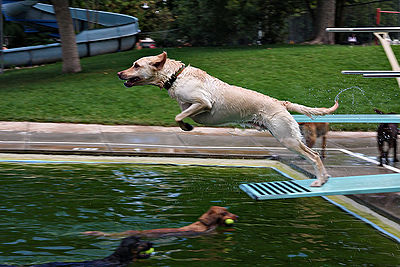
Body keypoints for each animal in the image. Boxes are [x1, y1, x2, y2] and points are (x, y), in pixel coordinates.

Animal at [117, 52, 340, 186]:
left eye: (136, 65)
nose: (119, 73)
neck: (175, 76)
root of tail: (280, 102)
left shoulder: (203, 103)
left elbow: (179, 115)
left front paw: (186, 126)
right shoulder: (191, 106)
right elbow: (180, 114)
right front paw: (186, 126)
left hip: (287, 138)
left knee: (314, 156)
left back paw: (320, 180)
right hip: (287, 137)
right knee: (314, 154)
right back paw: (324, 178)